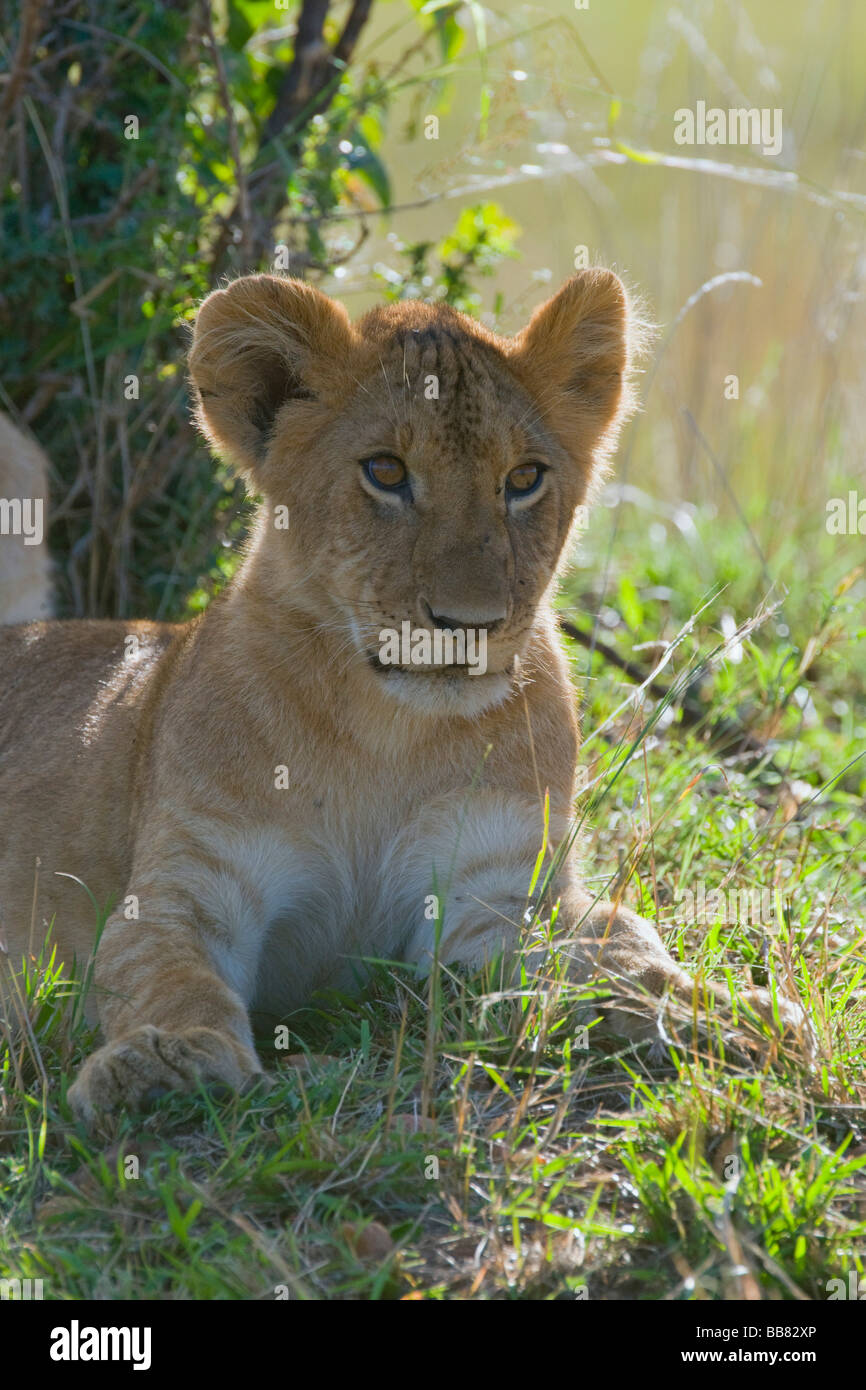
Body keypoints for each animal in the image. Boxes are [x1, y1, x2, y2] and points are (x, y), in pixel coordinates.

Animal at [0, 272, 805, 1127]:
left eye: (524, 480)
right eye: (385, 472)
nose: (468, 623)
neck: (387, 733)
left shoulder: (492, 897)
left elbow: (607, 963)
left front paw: (722, 1019)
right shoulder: (187, 887)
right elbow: (172, 978)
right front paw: (166, 1065)